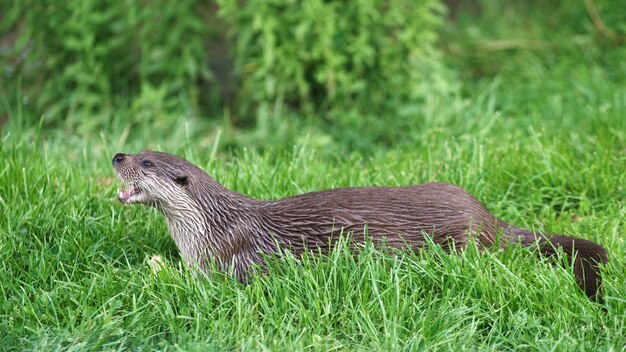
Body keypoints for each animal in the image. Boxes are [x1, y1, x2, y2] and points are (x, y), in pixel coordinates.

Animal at [111, 150, 604, 302]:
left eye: (148, 162)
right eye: (137, 149)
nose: (117, 156)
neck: (211, 228)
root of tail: (486, 216)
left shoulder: (237, 260)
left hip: (462, 240)